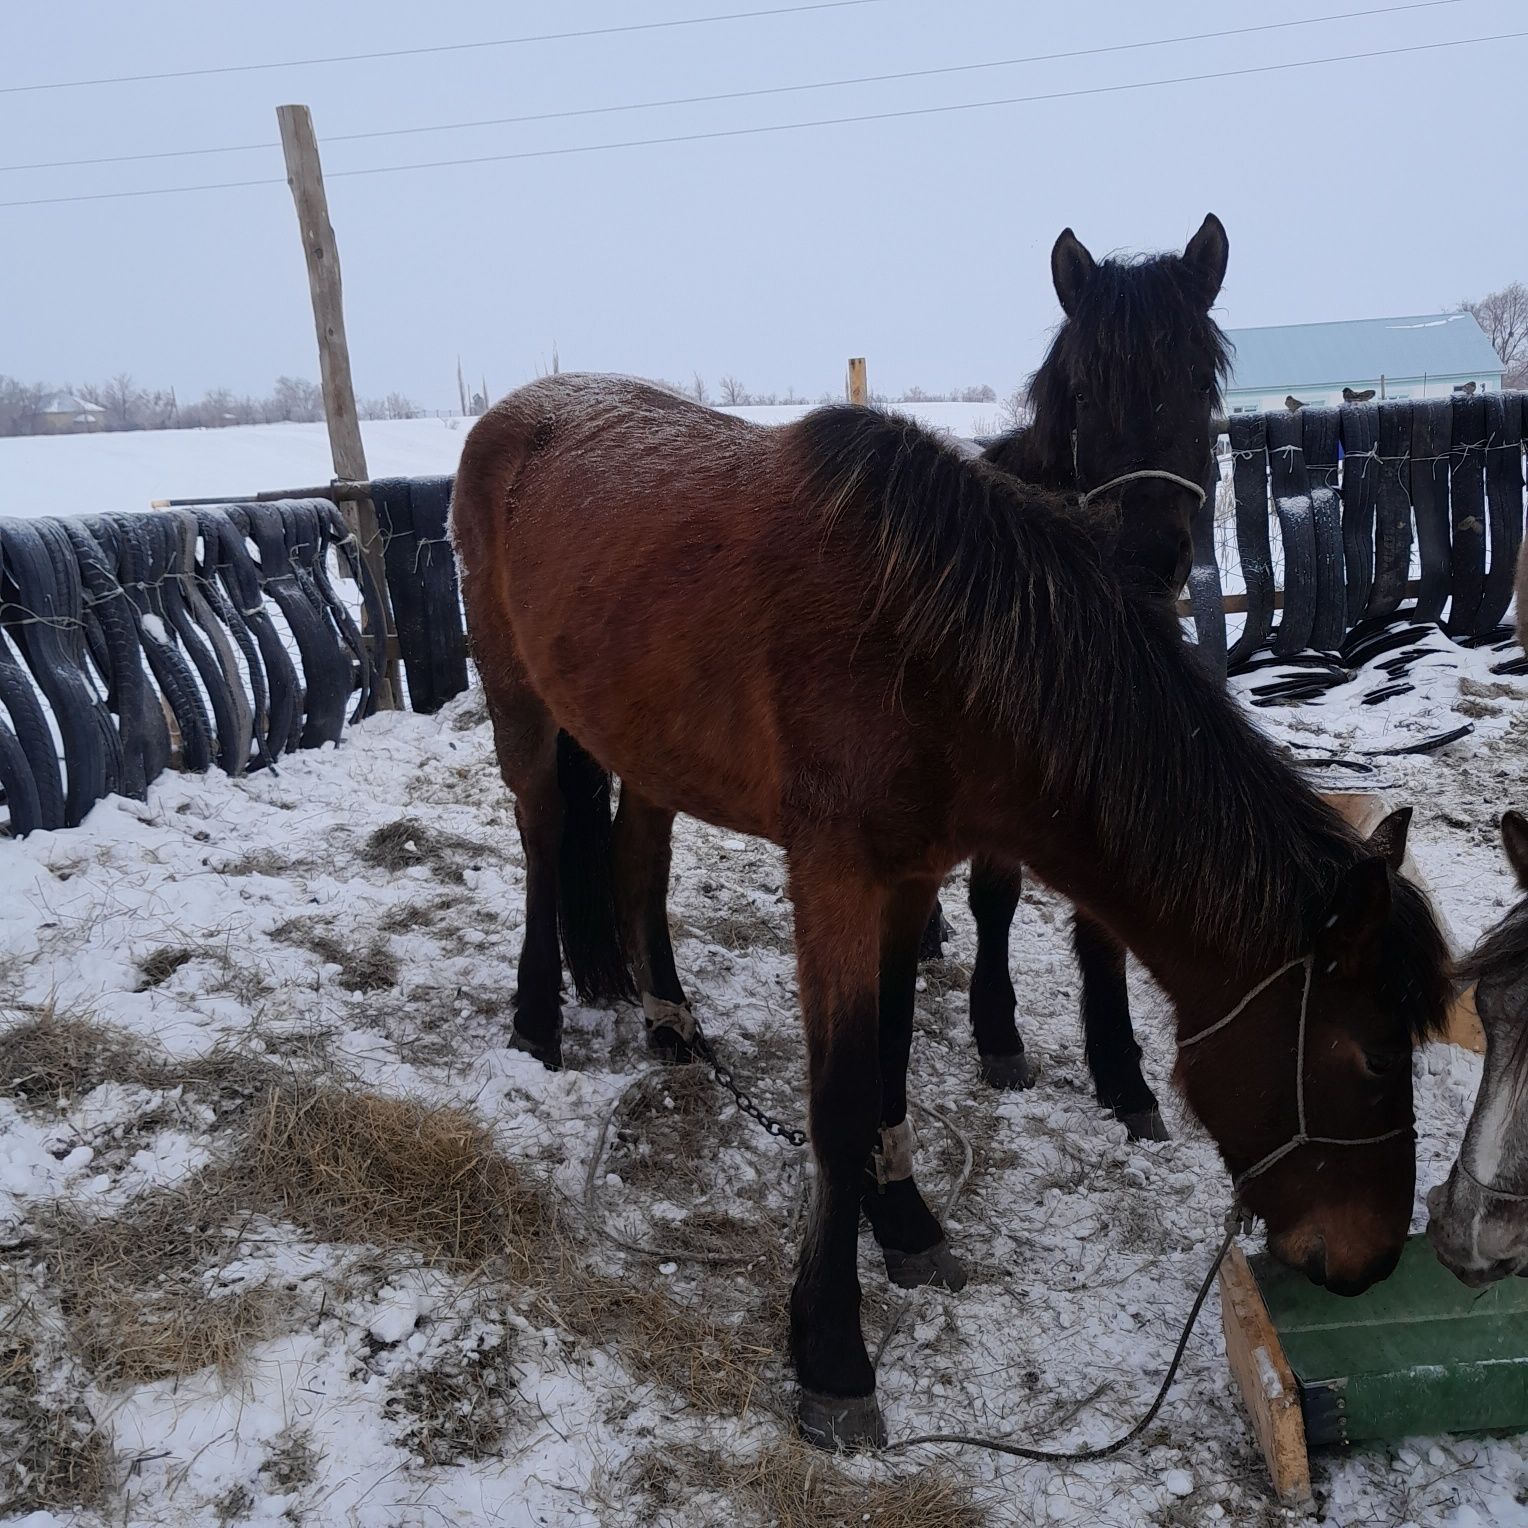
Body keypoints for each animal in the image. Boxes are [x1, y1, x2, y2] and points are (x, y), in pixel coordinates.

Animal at [449, 375, 1442, 1448]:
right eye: (1375, 1058)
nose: (1371, 1264)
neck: (929, 642)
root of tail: (519, 412)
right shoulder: (837, 878)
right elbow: (843, 1098)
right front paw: (833, 1353)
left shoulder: (910, 875)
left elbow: (890, 1059)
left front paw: (905, 1223)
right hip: (521, 705)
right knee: (545, 841)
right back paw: (537, 1022)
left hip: (647, 742)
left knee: (639, 858)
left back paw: (672, 1026)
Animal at [916, 218, 1228, 1149]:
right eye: (1085, 391)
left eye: (1198, 380)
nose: (1150, 555)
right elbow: (996, 895)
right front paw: (998, 1034)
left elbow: (1105, 926)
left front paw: (1123, 1074)